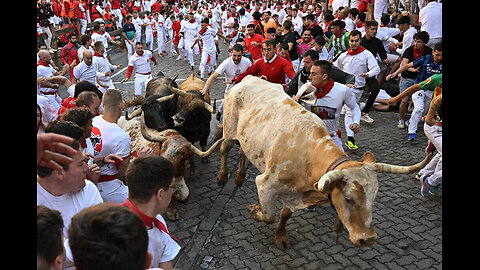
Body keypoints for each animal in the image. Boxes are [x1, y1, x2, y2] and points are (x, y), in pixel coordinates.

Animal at [216, 76, 430, 249]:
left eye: (374, 197)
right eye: (348, 198)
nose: (367, 239)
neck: (308, 156)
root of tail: (248, 78)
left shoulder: (294, 193)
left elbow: (284, 215)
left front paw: (280, 236)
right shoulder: (266, 185)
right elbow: (268, 216)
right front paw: (256, 211)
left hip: (248, 137)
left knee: (243, 152)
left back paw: (239, 176)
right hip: (229, 130)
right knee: (224, 149)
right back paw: (223, 176)